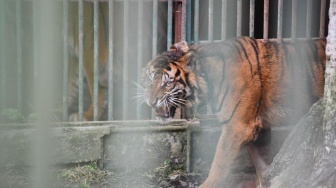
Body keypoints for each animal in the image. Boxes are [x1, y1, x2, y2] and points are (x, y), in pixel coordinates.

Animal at [140, 36, 326, 187]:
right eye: (150, 79)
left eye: (168, 83)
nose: (151, 101)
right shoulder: (260, 129)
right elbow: (263, 164)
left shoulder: (238, 126)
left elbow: (219, 163)